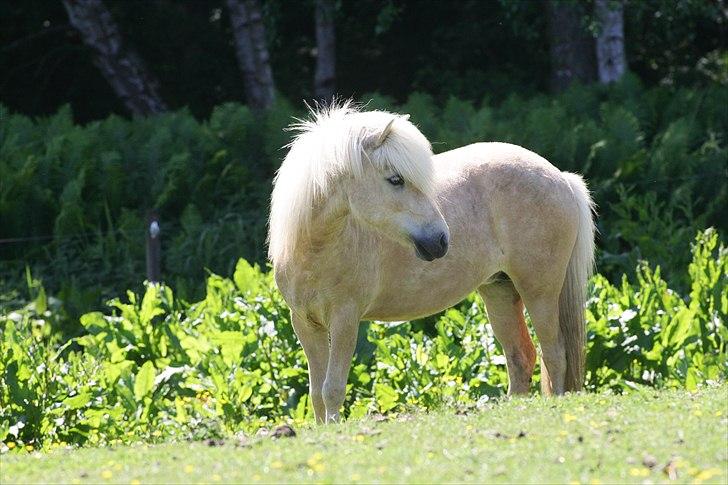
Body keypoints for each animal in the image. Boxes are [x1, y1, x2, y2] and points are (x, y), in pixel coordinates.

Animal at [266, 100, 592, 422]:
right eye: (395, 179)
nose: (441, 240)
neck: (315, 251)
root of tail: (562, 178)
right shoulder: (306, 323)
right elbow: (316, 393)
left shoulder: (345, 319)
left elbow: (332, 389)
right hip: (500, 291)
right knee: (521, 356)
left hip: (540, 292)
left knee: (554, 354)